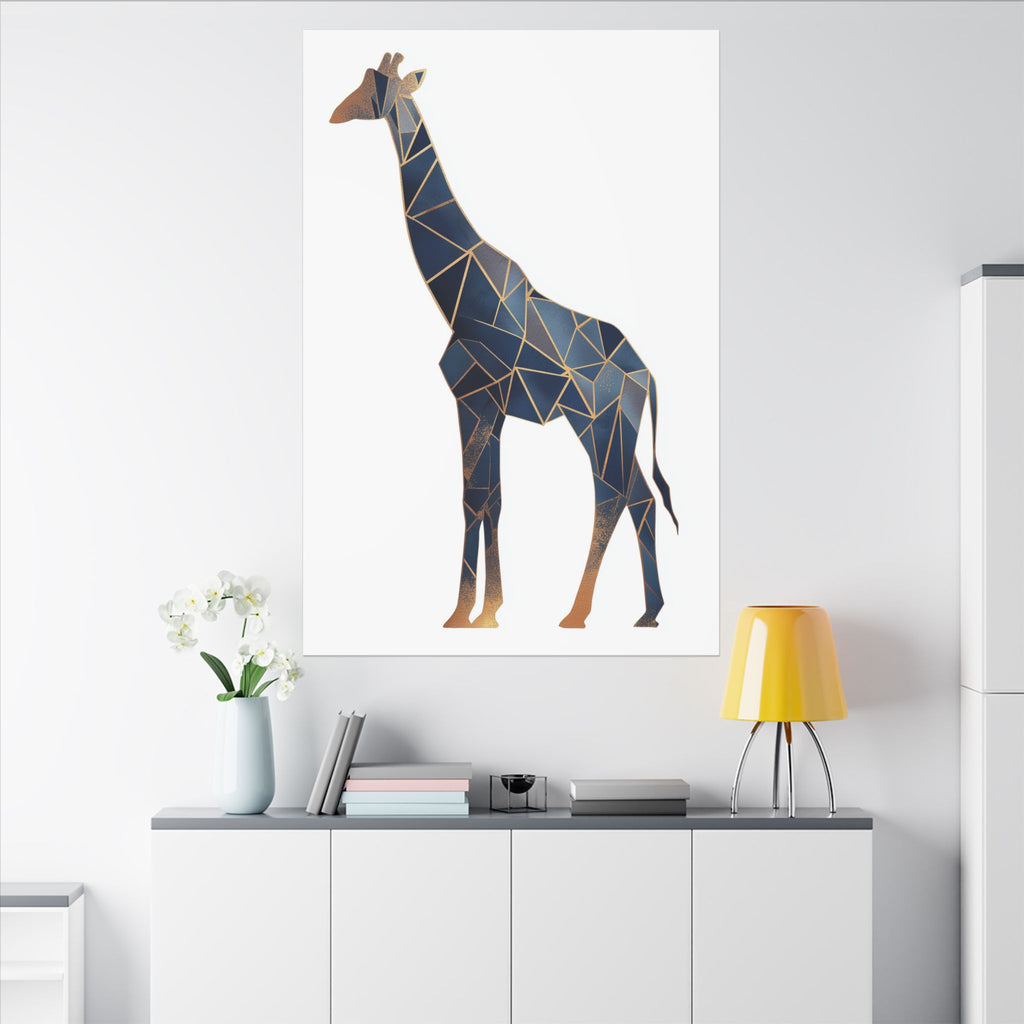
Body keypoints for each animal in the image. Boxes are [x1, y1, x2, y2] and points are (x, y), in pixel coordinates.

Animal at [330, 52, 678, 629]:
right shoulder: (487, 407)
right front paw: (485, 611)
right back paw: (647, 613)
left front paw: (466, 612)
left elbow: (475, 499)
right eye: (362, 80)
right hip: (614, 427)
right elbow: (490, 499)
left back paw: (578, 614)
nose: (336, 112)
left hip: (597, 422)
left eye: (375, 86)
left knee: (612, 496)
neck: (458, 294)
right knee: (639, 499)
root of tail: (646, 375)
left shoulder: (474, 398)